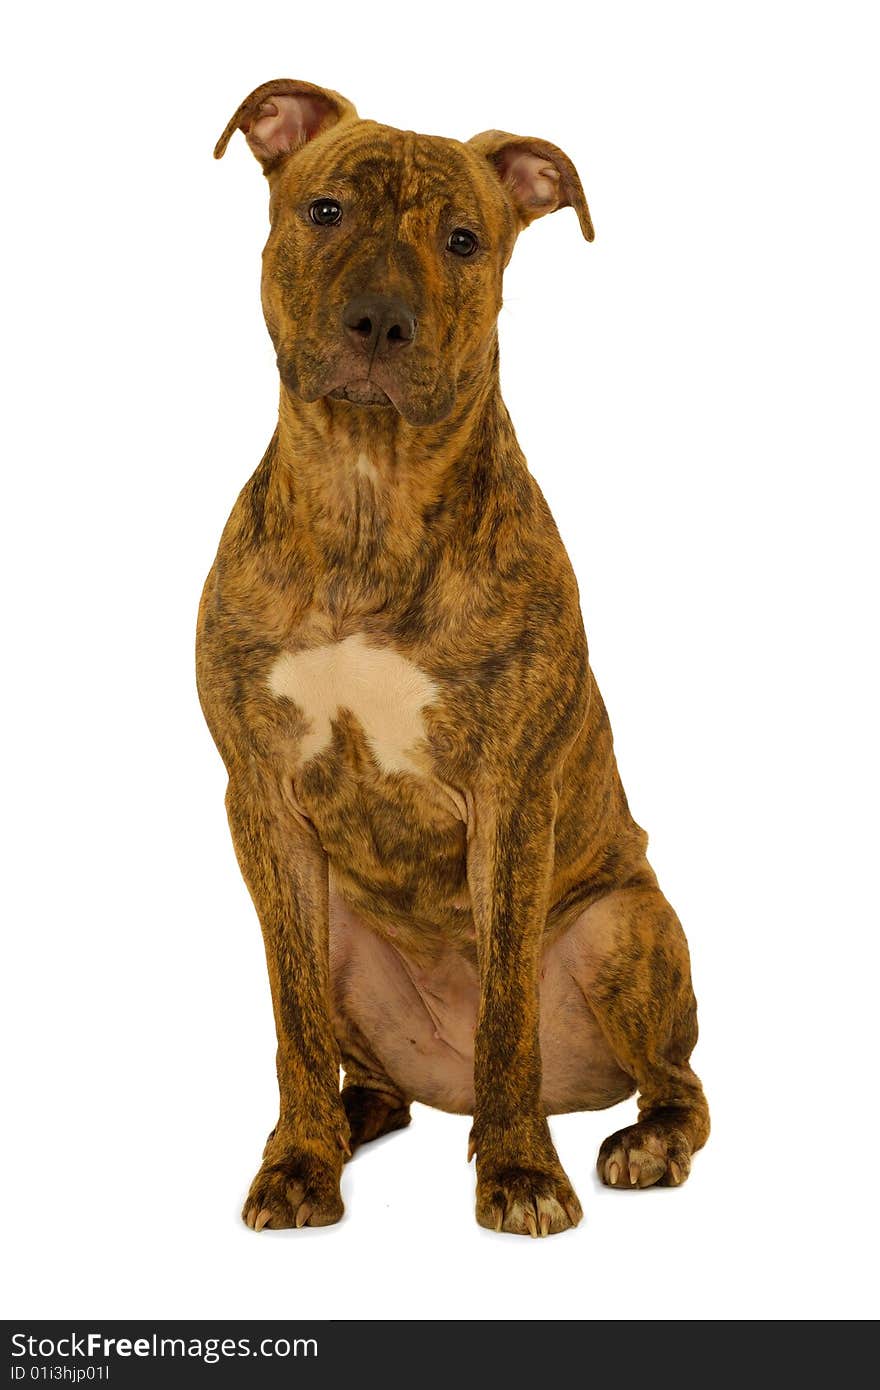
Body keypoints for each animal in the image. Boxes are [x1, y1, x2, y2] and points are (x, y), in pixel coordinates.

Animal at [197, 78, 706, 1239]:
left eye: (465, 240)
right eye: (325, 209)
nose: (380, 321)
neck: (366, 487)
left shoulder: (512, 798)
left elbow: (507, 1014)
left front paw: (520, 1174)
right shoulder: (261, 797)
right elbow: (292, 1020)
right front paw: (297, 1164)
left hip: (624, 927)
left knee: (677, 1081)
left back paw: (641, 1141)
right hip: (337, 928)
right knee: (361, 1064)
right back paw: (349, 1124)